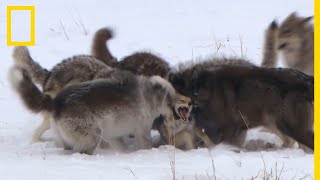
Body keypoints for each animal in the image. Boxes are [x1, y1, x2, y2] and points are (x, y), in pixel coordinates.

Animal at [8, 64, 176, 154]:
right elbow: (145, 145)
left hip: (69, 138)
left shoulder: (113, 134)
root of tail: (57, 103)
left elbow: (119, 146)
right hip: (92, 135)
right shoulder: (142, 131)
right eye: (171, 103)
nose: (176, 116)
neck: (150, 93)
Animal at [169, 60, 314, 150]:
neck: (196, 90)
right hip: (275, 122)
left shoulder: (227, 129)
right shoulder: (239, 129)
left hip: (291, 126)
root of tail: (307, 81)